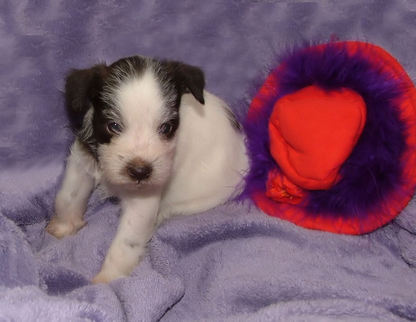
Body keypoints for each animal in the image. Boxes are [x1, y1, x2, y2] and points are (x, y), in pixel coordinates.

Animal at [46, 56, 247, 284]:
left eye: (166, 127)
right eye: (113, 125)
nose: (140, 171)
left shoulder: (142, 202)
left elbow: (125, 243)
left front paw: (107, 279)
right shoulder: (81, 163)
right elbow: (67, 198)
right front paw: (64, 226)